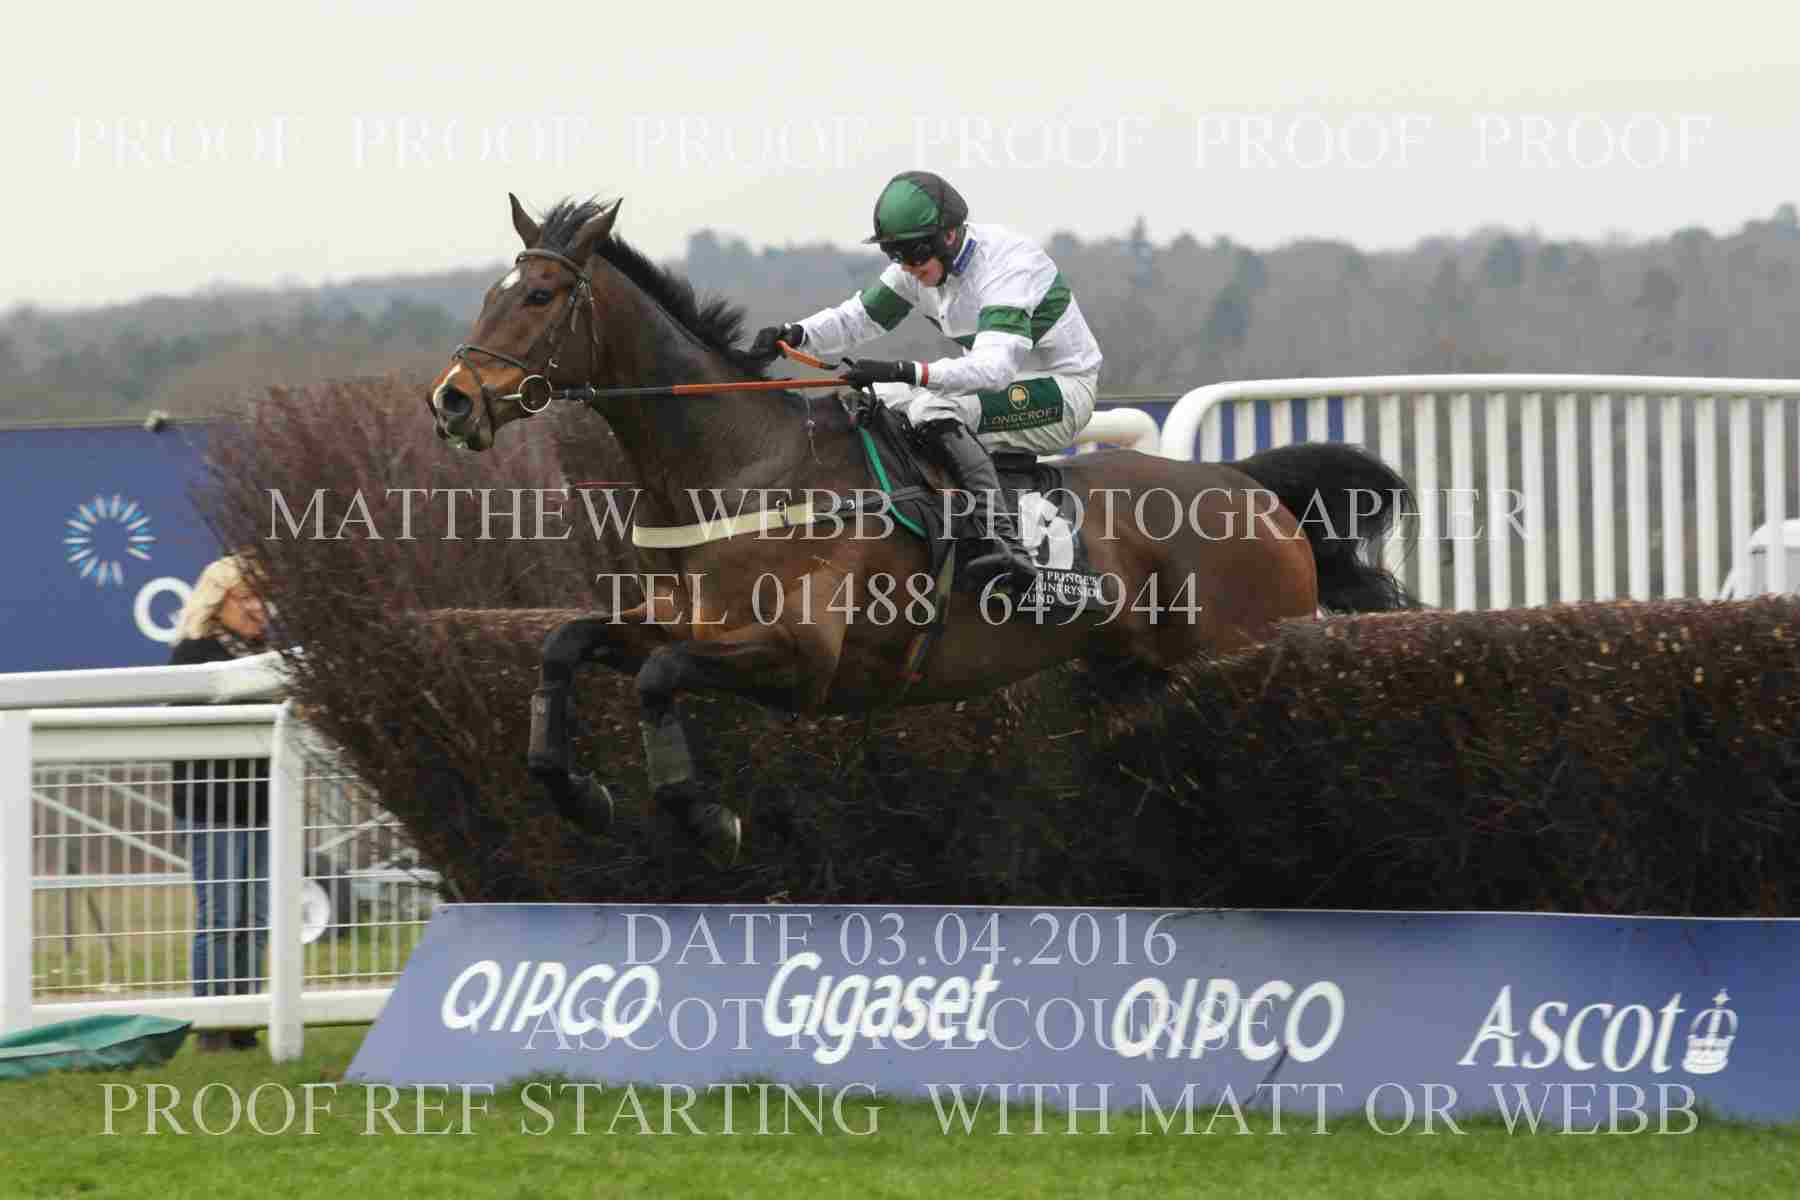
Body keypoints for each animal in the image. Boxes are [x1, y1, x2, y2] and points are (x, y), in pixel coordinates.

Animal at [424, 192, 1418, 867]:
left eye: (541, 296)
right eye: (490, 293)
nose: (452, 399)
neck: (743, 466)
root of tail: (1250, 490)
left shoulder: (799, 658)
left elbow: (661, 677)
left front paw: (705, 814)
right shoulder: (687, 621)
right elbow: (566, 644)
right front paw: (575, 790)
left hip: (1232, 652)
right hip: (1126, 677)